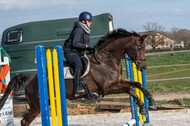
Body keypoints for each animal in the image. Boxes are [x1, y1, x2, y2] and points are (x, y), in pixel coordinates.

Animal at [0, 28, 156, 125]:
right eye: (140, 47)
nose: (143, 67)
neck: (107, 58)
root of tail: (31, 77)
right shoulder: (108, 88)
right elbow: (131, 89)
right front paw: (144, 107)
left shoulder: (118, 82)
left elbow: (136, 85)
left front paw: (149, 103)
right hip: (37, 105)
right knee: (25, 121)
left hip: (40, 104)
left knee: (24, 121)